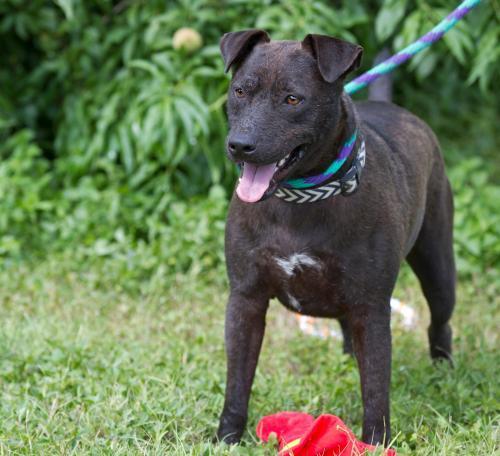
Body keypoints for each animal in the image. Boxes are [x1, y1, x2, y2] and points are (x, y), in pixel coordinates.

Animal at [215, 29, 454, 448]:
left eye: (292, 99)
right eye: (240, 91)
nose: (240, 145)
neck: (299, 199)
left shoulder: (372, 308)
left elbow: (375, 388)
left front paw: (374, 444)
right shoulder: (245, 299)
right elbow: (237, 382)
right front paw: (227, 438)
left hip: (438, 267)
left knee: (439, 321)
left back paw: (443, 369)